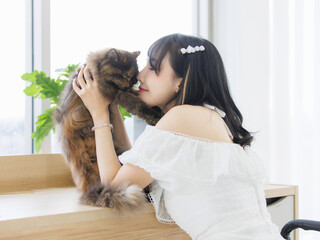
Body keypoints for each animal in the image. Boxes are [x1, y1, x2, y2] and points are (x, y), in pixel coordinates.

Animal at [54, 47, 162, 213]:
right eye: (124, 75)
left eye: (134, 78)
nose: (130, 82)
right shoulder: (119, 93)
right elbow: (140, 105)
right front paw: (156, 116)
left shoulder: (125, 92)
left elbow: (141, 98)